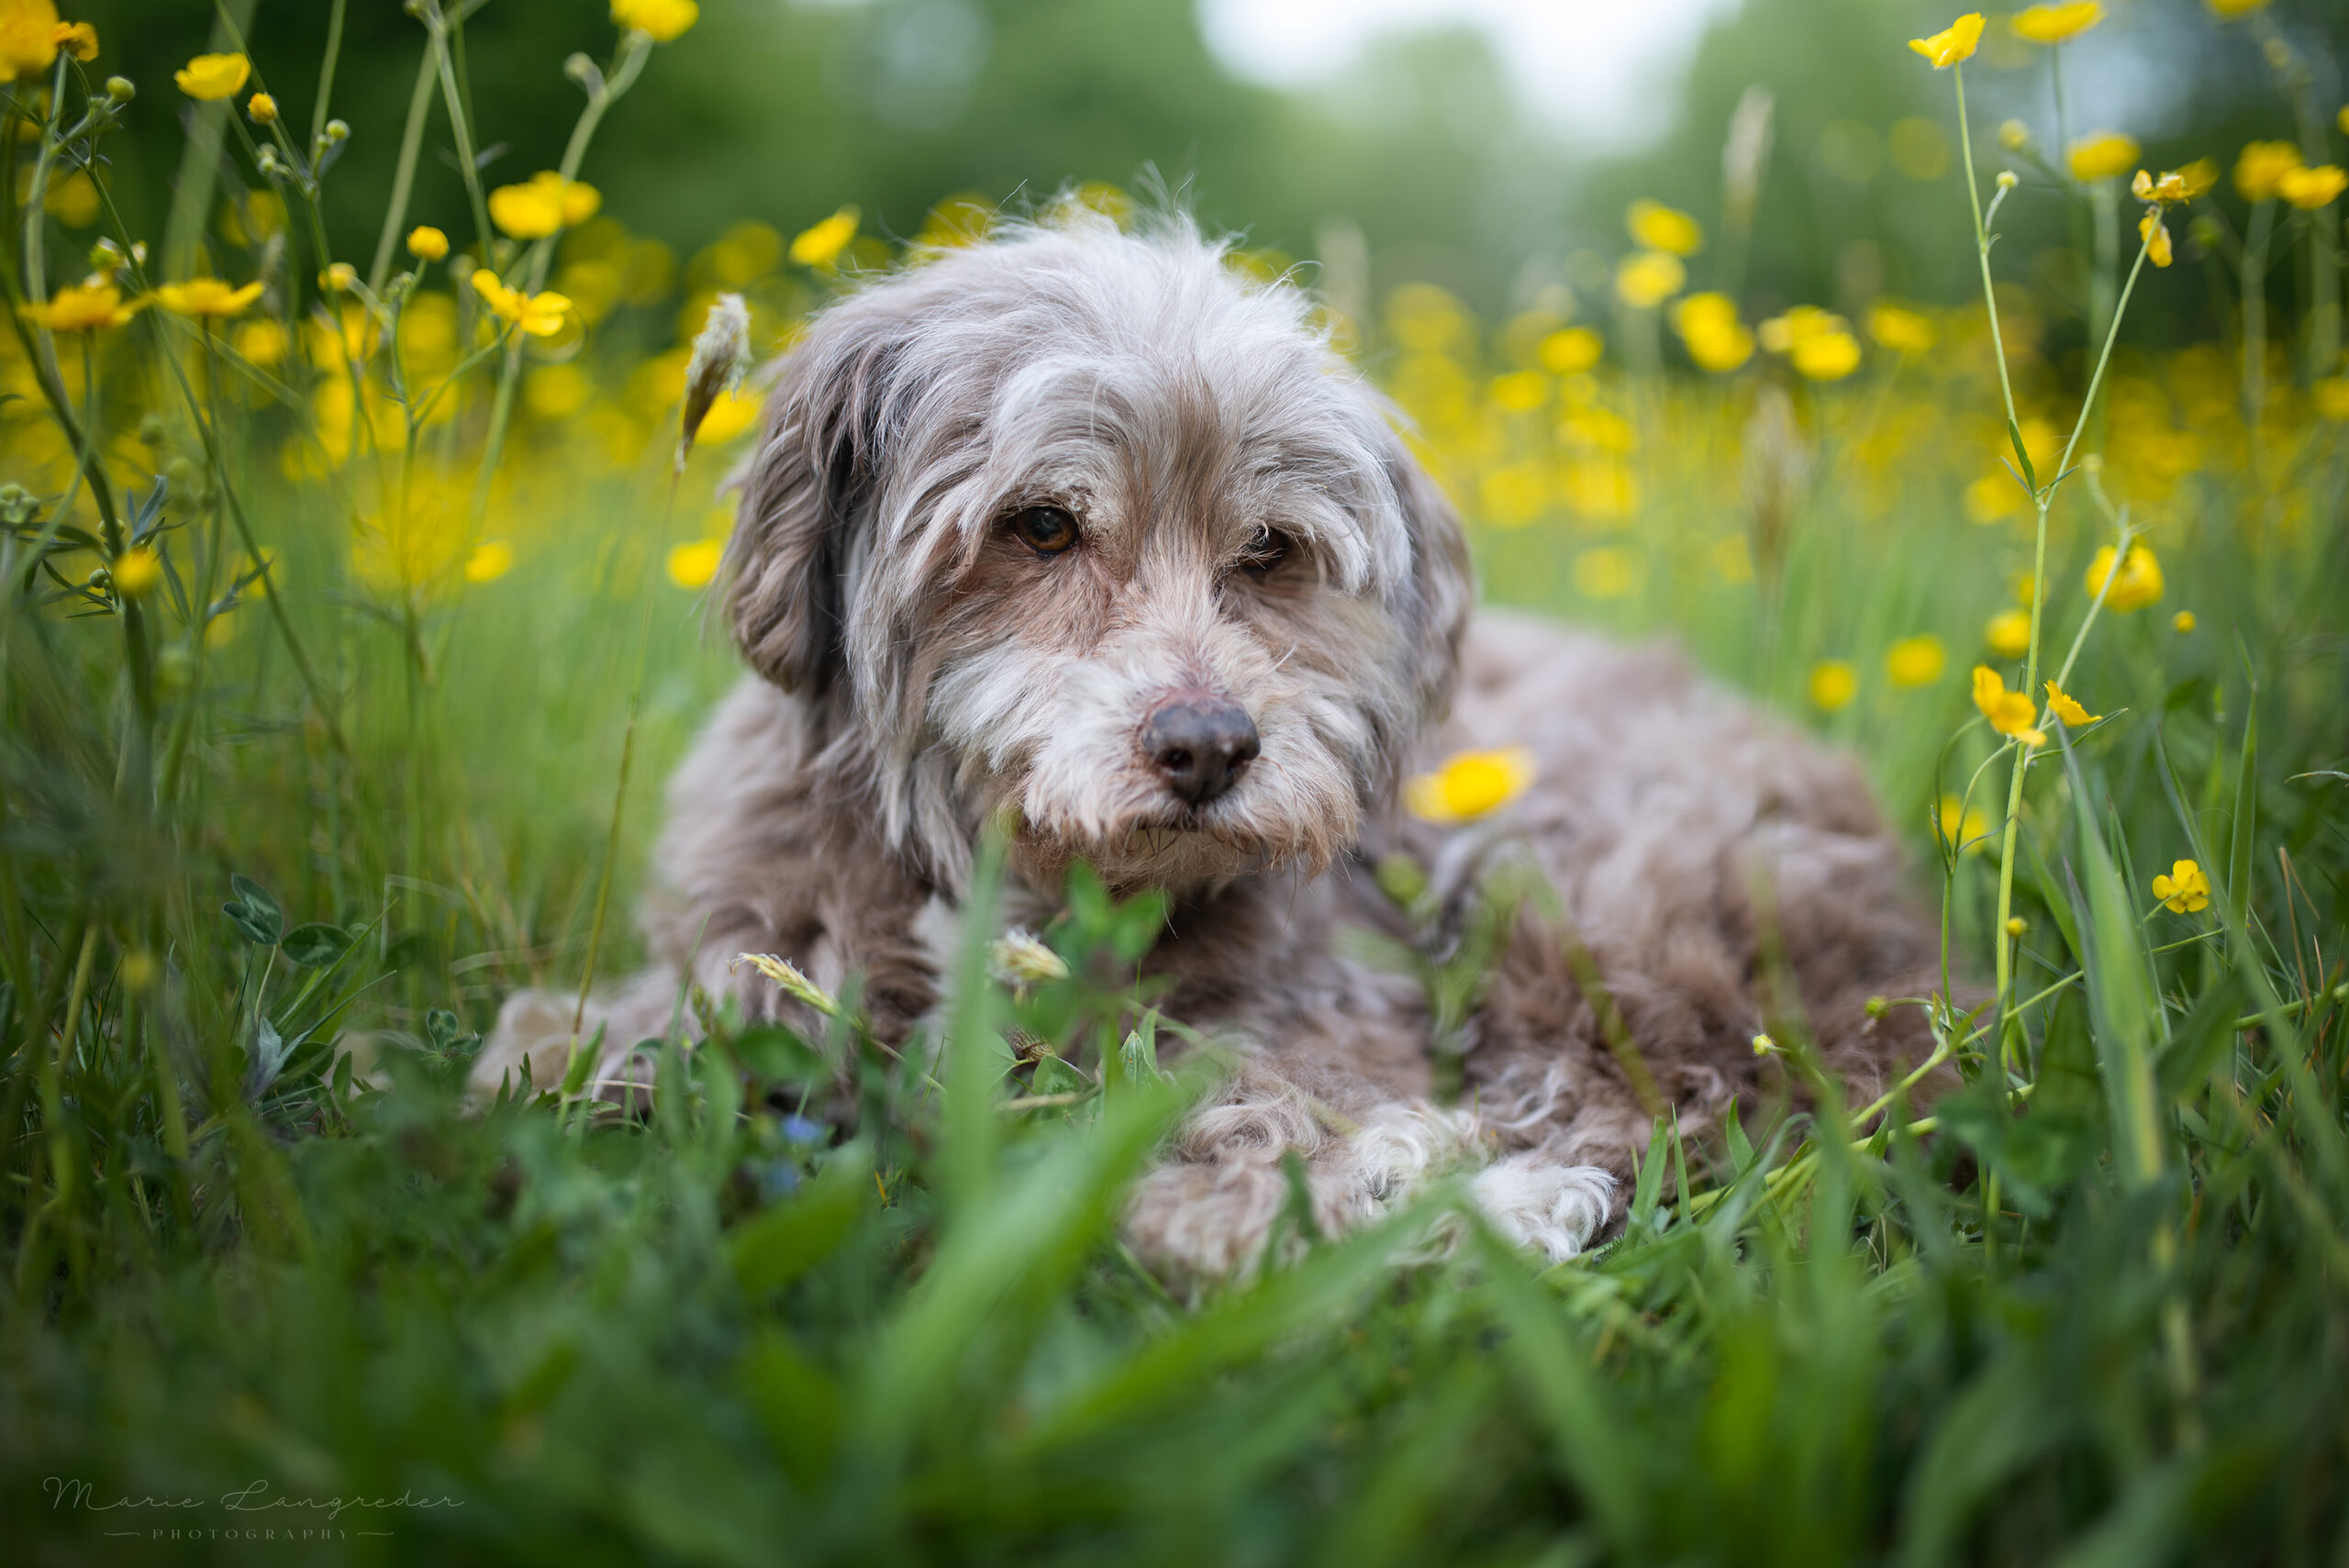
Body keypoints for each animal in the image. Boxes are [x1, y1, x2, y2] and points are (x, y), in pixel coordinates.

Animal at [467, 211, 1935, 1276]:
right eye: (1041, 526)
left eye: (1271, 548)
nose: (1210, 749)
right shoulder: (736, 963)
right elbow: (553, 1049)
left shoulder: (1327, 1011)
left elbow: (1245, 1116)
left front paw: (1325, 1186)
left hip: (1581, 891)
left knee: (1658, 1093)